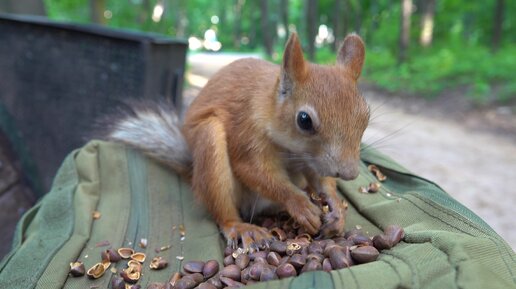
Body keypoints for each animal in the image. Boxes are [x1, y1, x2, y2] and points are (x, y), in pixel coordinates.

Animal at [107, 32, 368, 250]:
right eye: (304, 120)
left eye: (365, 116)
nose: (350, 173)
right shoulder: (247, 131)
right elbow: (254, 171)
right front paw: (300, 204)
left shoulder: (312, 159)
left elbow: (322, 180)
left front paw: (336, 209)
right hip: (210, 144)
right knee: (223, 212)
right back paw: (242, 227)